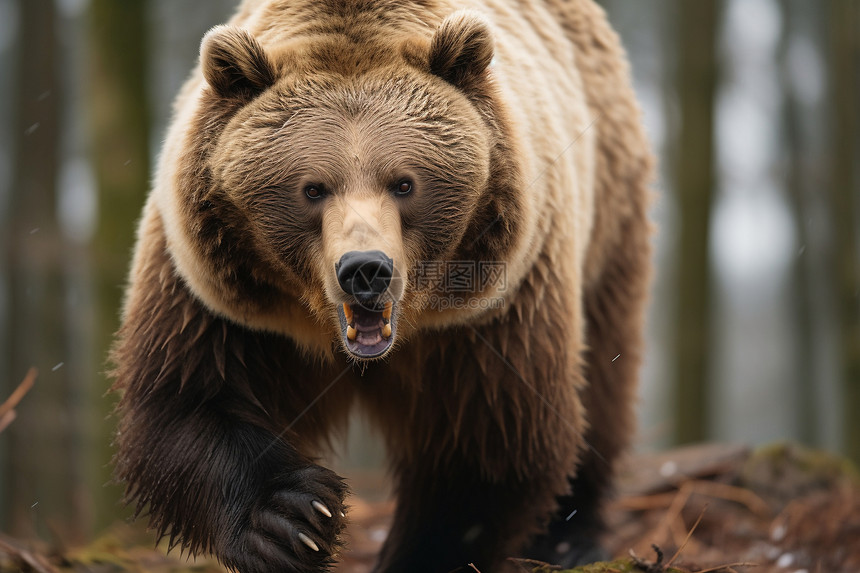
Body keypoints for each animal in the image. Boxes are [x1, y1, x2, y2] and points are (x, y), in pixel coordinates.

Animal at [112, 1, 652, 572]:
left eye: (404, 183)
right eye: (312, 188)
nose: (365, 269)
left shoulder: (489, 314)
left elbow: (487, 444)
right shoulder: (220, 301)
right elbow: (186, 401)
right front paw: (292, 517)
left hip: (608, 209)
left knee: (603, 375)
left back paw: (571, 536)